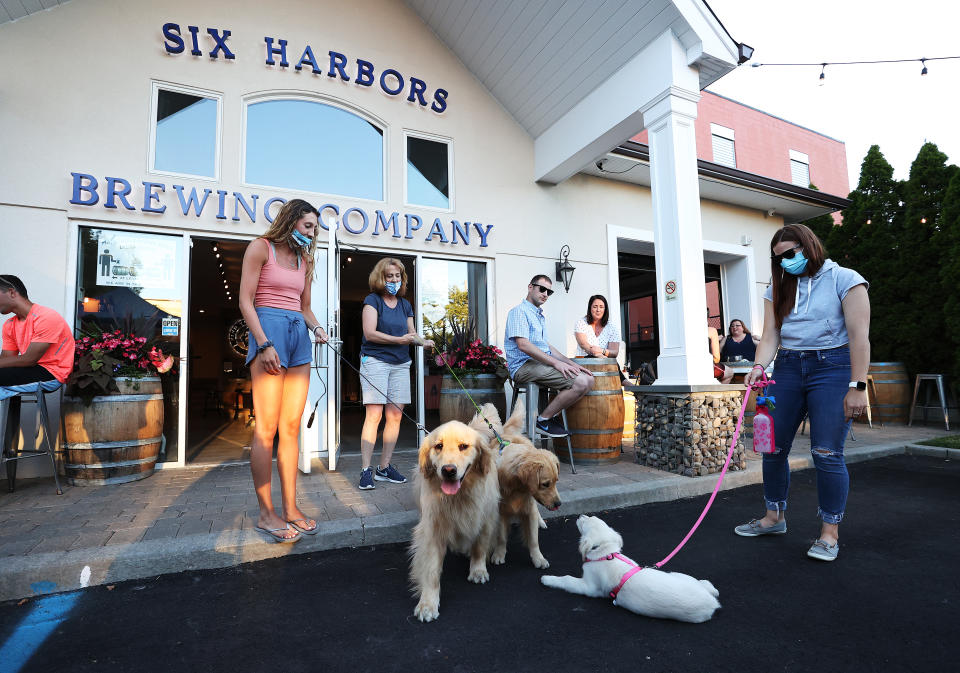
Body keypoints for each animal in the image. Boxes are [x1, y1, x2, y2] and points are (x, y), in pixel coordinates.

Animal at [406, 410, 498, 620]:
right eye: (438, 446)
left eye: (463, 446)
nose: (448, 470)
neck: (459, 496)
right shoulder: (432, 530)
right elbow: (431, 570)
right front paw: (428, 604)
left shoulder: (485, 519)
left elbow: (480, 547)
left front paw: (478, 570)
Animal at [474, 404, 564, 568]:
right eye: (545, 484)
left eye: (556, 481)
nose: (558, 504)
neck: (516, 486)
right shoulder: (500, 512)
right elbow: (501, 537)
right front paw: (499, 554)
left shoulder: (529, 509)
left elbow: (534, 540)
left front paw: (538, 558)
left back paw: (541, 522)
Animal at [540, 516, 720, 624]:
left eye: (585, 522)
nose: (581, 516)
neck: (606, 552)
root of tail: (712, 603)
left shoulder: (590, 587)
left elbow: (567, 579)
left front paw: (547, 578)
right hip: (680, 576)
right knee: (706, 584)